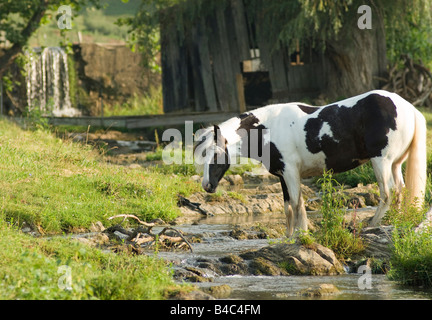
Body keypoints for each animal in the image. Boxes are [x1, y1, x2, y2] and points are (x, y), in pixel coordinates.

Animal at [194, 91, 426, 236]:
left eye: (216, 155)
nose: (207, 186)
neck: (269, 128)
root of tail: (408, 108)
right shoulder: (283, 176)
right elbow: (288, 207)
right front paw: (289, 237)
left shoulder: (290, 173)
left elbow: (297, 205)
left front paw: (301, 234)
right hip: (395, 164)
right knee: (400, 191)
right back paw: (395, 221)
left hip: (382, 162)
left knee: (387, 194)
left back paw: (370, 226)